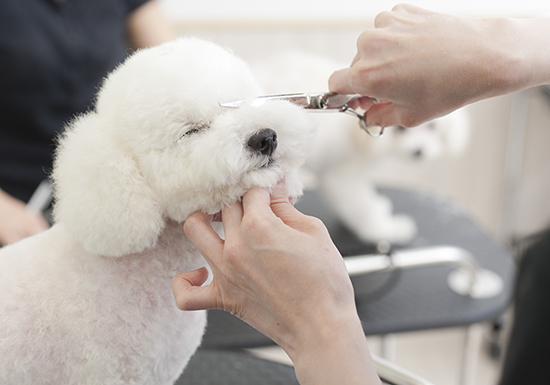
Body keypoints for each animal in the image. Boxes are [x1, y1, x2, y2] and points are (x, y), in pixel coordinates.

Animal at [254, 50, 470, 243]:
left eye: (433, 126)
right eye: (400, 129)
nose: (419, 152)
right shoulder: (344, 175)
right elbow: (360, 207)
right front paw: (385, 229)